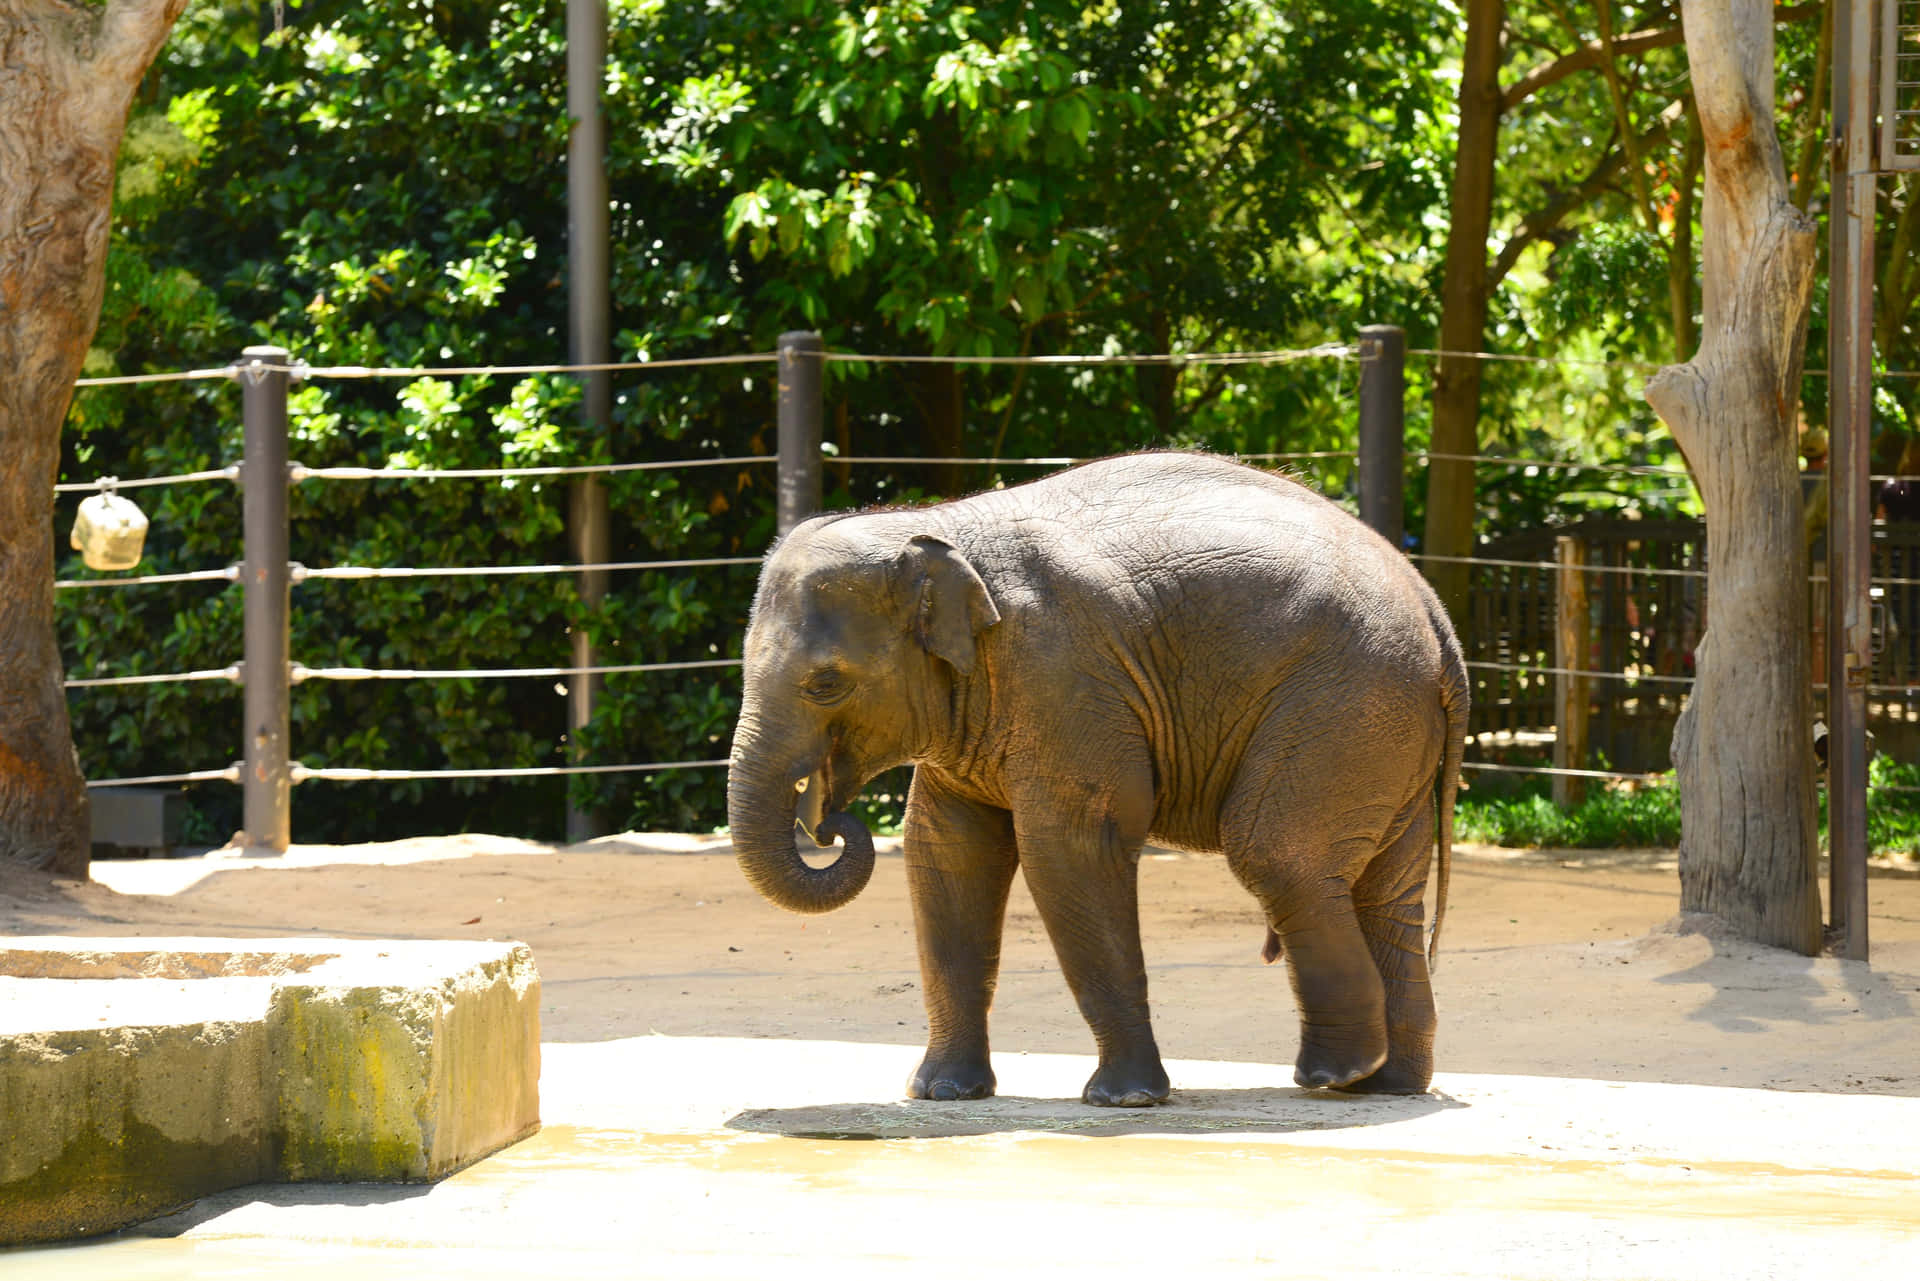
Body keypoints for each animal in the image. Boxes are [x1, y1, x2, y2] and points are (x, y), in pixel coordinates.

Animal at [725, 449, 1459, 1106]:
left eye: (825, 684)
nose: (828, 822)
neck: (935, 528)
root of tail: (1434, 610)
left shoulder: (1064, 679)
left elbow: (1069, 851)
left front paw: (1124, 1100)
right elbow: (948, 853)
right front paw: (941, 1094)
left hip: (1344, 706)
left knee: (1278, 855)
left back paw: (1333, 1076)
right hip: (1386, 727)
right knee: (1384, 889)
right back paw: (1387, 1084)